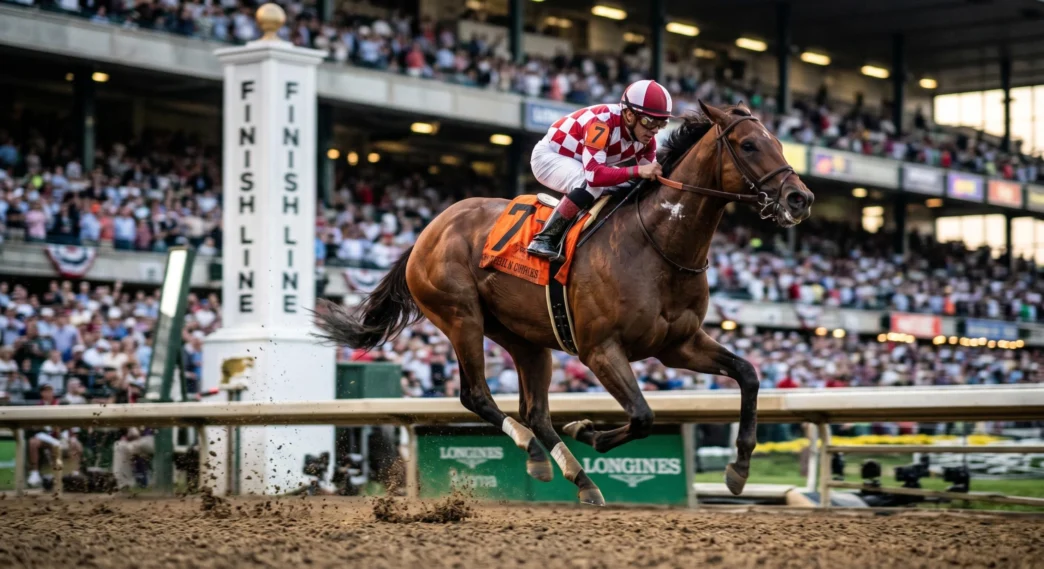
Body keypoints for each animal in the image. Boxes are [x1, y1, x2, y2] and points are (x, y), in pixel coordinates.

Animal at [315, 101, 814, 505]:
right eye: (749, 145)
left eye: (777, 144)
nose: (800, 198)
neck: (658, 245)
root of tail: (427, 231)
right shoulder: (600, 349)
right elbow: (643, 415)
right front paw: (589, 430)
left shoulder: (678, 345)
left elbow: (747, 374)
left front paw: (739, 468)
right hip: (461, 317)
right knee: (477, 395)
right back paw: (536, 451)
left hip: (526, 339)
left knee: (535, 412)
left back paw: (576, 477)